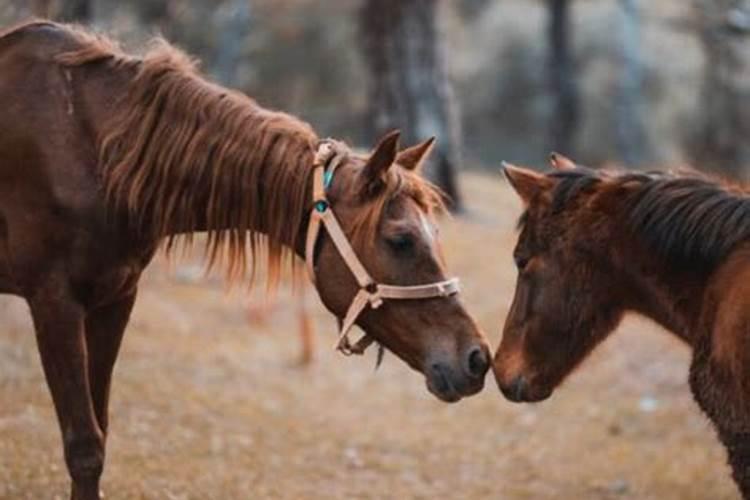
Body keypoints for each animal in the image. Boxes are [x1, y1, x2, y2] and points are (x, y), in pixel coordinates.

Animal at [0, 21, 494, 498]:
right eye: (401, 240)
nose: (477, 358)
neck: (92, 149)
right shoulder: (55, 304)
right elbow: (85, 449)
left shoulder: (114, 301)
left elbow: (99, 431)